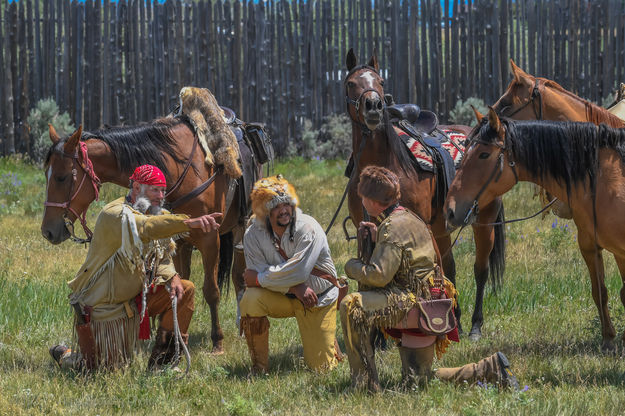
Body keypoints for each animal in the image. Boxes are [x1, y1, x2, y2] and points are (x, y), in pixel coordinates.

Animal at [342, 50, 508, 340]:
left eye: (380, 81)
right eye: (351, 83)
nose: (373, 106)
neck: (385, 166)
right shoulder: (366, 227)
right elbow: (370, 274)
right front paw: (378, 338)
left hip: (484, 221)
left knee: (480, 269)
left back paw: (475, 325)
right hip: (441, 226)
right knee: (449, 267)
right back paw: (457, 320)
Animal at [446, 106, 625, 352]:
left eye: (484, 154)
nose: (451, 209)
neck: (606, 179)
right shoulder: (592, 245)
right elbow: (601, 292)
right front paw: (608, 338)